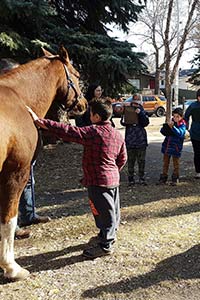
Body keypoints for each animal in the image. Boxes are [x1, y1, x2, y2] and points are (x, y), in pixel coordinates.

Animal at [0, 45, 87, 280]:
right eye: (77, 75)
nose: (84, 104)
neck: (18, 99)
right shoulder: (15, 174)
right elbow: (9, 219)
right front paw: (11, 267)